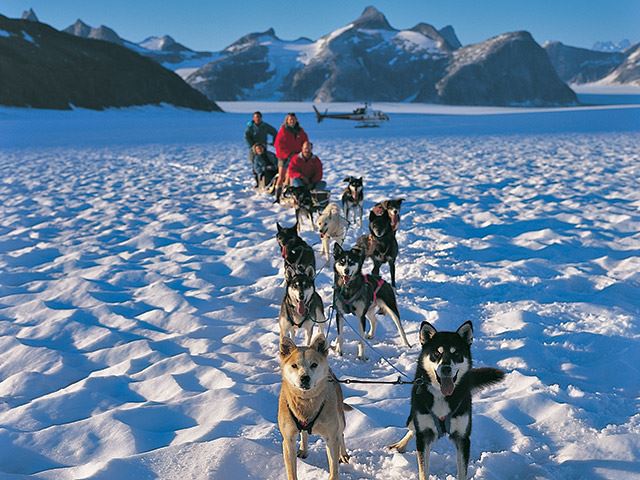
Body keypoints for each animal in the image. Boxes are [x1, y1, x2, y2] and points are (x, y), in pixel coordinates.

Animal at [278, 334, 350, 480]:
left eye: (314, 365)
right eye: (294, 365)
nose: (304, 378)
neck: (306, 402)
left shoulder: (331, 437)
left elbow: (334, 469)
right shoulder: (288, 440)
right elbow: (291, 472)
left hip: (340, 418)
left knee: (341, 433)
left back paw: (343, 454)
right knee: (304, 433)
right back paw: (303, 449)